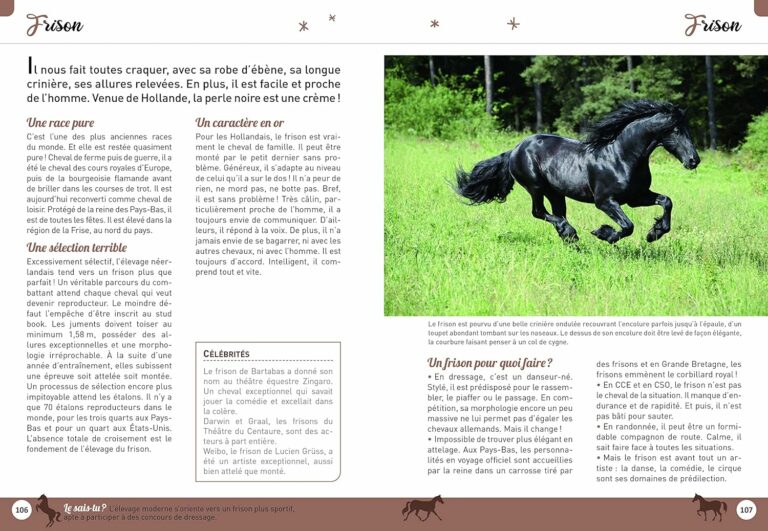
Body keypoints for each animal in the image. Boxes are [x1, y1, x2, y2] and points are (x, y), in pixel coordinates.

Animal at [454, 100, 700, 244]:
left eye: (687, 128)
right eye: (675, 130)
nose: (694, 160)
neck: (621, 157)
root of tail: (514, 150)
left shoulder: (636, 197)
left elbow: (666, 201)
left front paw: (654, 233)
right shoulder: (605, 201)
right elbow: (627, 226)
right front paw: (603, 234)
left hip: (555, 193)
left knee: (556, 214)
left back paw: (570, 238)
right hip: (535, 187)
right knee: (539, 212)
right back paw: (571, 233)